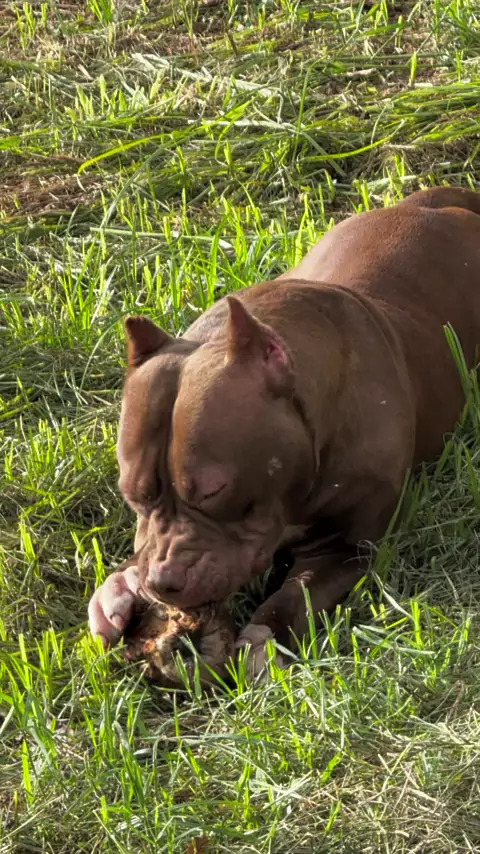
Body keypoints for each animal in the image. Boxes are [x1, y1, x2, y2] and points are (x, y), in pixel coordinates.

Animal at [88, 186, 480, 673]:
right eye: (133, 495)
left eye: (213, 491)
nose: (162, 581)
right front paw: (120, 585)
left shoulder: (347, 548)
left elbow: (300, 593)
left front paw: (264, 636)